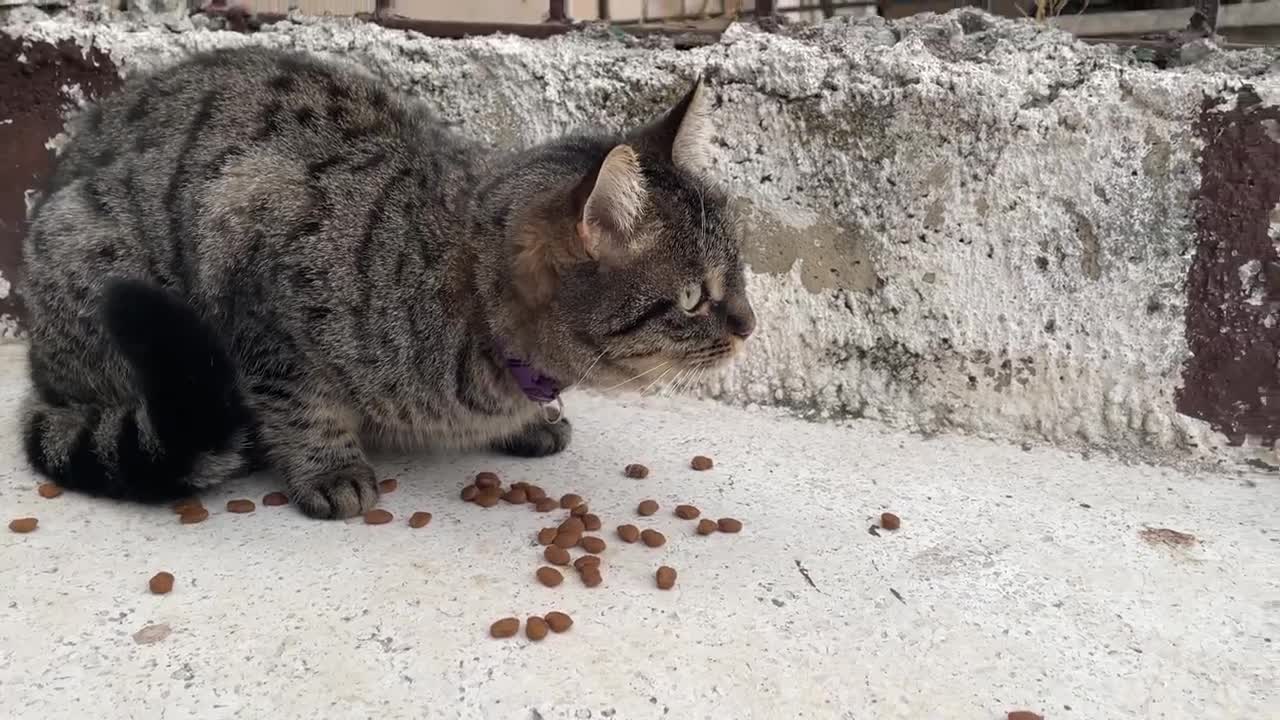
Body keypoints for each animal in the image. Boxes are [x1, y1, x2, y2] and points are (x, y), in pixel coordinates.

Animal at [20, 46, 752, 515]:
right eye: (693, 298)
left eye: (740, 271)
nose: (750, 324)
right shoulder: (252, 261)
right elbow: (300, 401)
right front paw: (330, 466)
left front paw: (525, 424)